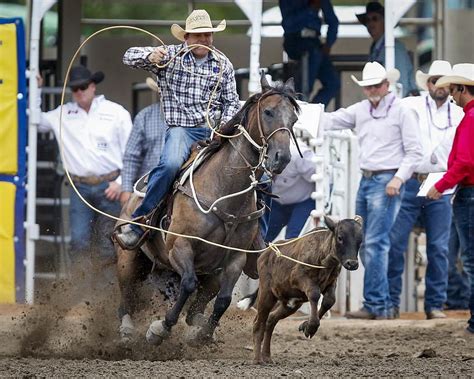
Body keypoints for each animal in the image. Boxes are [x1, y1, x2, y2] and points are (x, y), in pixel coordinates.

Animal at [115, 73, 300, 348]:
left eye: (294, 119)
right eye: (268, 112)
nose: (282, 158)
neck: (223, 190)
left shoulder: (235, 258)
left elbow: (223, 300)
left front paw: (202, 335)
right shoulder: (180, 246)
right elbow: (188, 284)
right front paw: (160, 329)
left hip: (208, 272)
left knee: (197, 306)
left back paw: (199, 325)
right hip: (128, 259)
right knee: (127, 296)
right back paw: (127, 330)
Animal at [239, 215, 362, 364]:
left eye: (360, 240)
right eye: (340, 237)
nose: (352, 263)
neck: (323, 258)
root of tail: (265, 254)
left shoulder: (331, 282)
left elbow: (329, 301)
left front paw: (306, 326)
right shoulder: (299, 278)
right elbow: (314, 294)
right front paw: (311, 327)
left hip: (290, 304)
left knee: (271, 320)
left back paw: (267, 356)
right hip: (266, 294)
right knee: (258, 324)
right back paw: (257, 359)